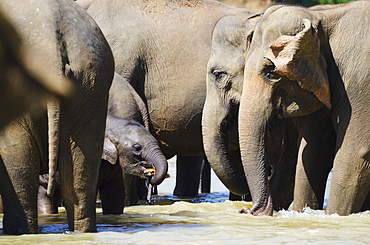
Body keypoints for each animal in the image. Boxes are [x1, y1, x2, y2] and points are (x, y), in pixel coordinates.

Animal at [237, 2, 370, 216]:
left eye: (271, 73)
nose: (245, 210)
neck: (323, 18)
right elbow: (312, 152)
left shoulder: (362, 82)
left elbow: (353, 155)